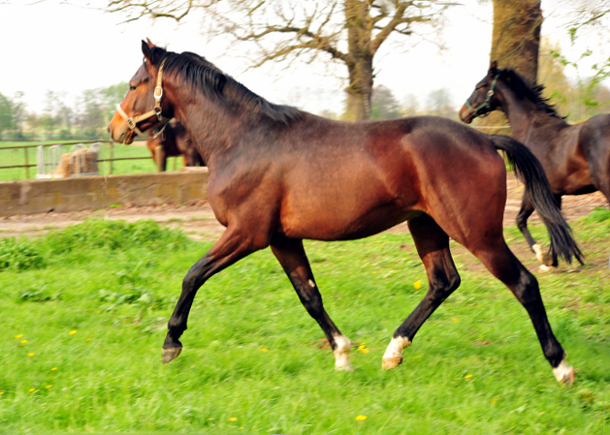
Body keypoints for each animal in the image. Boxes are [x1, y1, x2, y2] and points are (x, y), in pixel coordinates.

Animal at [108, 41, 580, 384]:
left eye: (133, 84)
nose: (113, 130)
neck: (243, 140)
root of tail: (484, 140)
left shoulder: (247, 233)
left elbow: (193, 276)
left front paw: (171, 343)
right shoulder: (282, 239)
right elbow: (310, 296)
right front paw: (343, 355)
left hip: (477, 232)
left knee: (523, 284)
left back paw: (561, 366)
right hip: (426, 225)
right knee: (443, 282)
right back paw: (392, 352)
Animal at [458, 59, 604, 268]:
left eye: (479, 86)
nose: (462, 113)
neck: (532, 129)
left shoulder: (533, 189)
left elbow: (525, 220)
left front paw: (544, 257)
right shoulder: (554, 193)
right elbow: (554, 221)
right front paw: (556, 258)